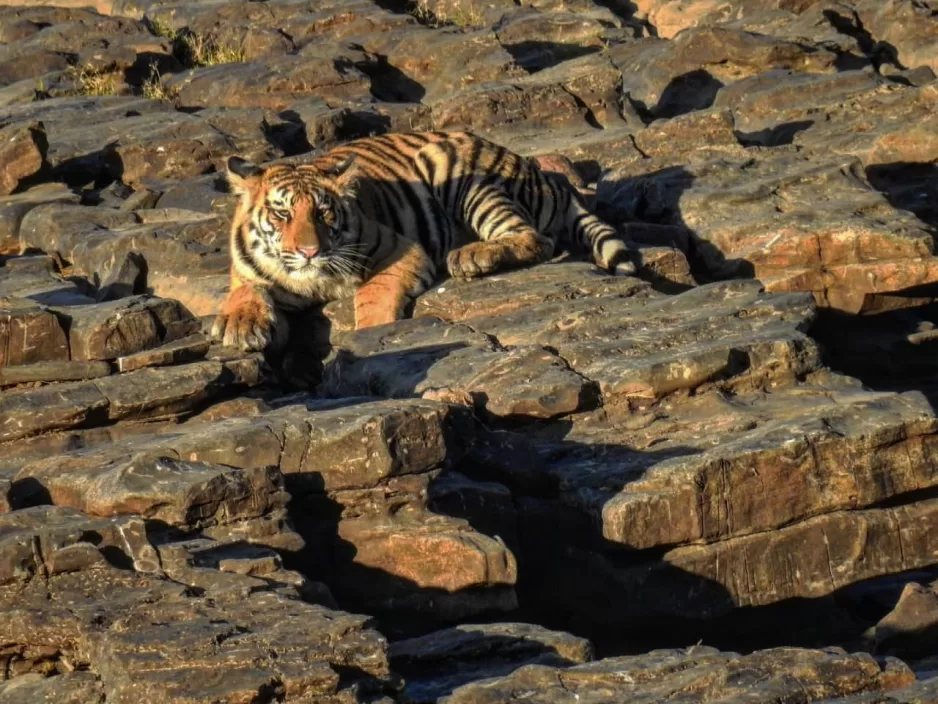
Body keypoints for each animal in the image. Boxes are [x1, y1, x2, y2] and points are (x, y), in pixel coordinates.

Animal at [211, 130, 638, 353]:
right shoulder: (246, 272)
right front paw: (242, 326)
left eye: (323, 213)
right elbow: (244, 290)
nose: (309, 251)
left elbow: (373, 298)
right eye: (282, 214)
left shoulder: (399, 249)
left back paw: (471, 257)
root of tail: (544, 175)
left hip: (458, 171)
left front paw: (371, 335)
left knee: (535, 238)